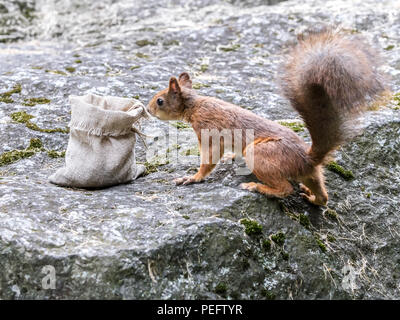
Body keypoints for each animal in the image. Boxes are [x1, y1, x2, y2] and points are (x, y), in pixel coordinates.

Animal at [146, 29, 384, 205]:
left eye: (160, 101)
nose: (147, 110)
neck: (195, 105)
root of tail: (306, 159)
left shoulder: (208, 130)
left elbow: (209, 158)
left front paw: (193, 177)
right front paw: (230, 157)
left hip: (259, 154)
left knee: (285, 189)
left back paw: (257, 187)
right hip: (312, 175)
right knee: (323, 198)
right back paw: (311, 196)